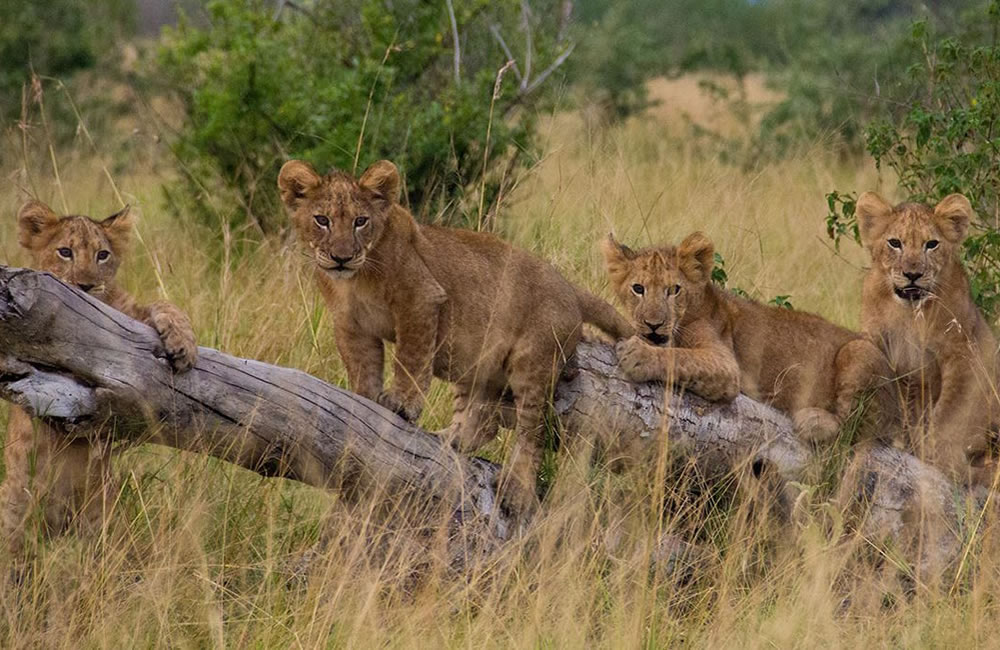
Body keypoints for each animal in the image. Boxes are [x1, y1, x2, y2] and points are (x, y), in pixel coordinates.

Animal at [1, 200, 198, 554]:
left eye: (102, 255)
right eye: (65, 252)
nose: (87, 285)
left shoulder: (127, 319)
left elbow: (163, 303)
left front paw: (183, 343)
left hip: (102, 515)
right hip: (13, 505)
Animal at [277, 159, 633, 511]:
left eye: (360, 222)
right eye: (322, 220)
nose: (342, 257)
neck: (356, 279)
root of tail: (569, 287)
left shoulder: (420, 299)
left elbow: (410, 359)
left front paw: (402, 403)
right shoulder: (351, 326)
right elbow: (363, 370)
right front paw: (362, 403)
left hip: (534, 362)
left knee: (531, 431)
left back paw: (518, 490)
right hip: (476, 363)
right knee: (483, 420)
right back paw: (447, 439)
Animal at [603, 231, 889, 443]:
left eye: (674, 290)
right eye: (638, 289)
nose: (654, 325)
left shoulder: (727, 367)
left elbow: (679, 357)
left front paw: (639, 355)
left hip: (859, 350)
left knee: (854, 431)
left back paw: (815, 422)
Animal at [855, 192, 998, 486]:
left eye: (931, 244)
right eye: (894, 243)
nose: (913, 274)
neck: (910, 313)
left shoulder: (963, 355)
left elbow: (949, 414)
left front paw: (939, 456)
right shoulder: (881, 345)